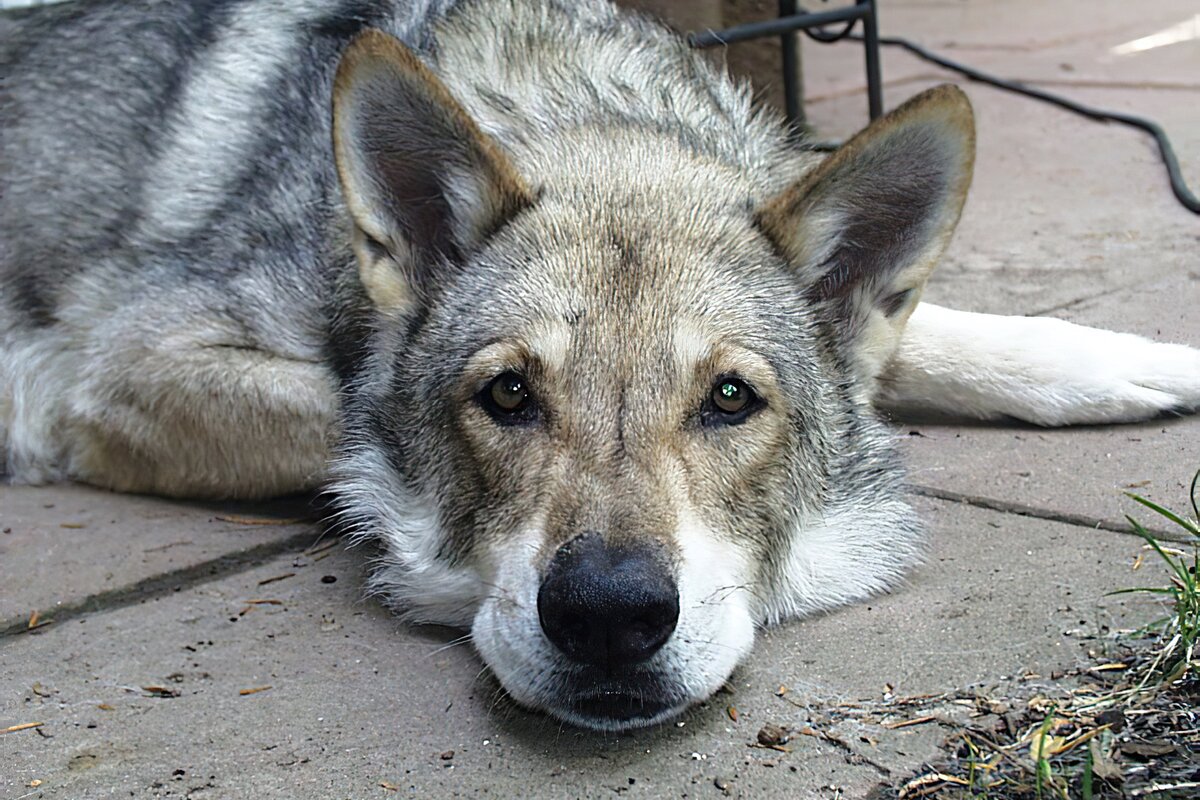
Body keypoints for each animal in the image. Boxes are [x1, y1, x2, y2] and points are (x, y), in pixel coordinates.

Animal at [2, 0, 1200, 734]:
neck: (584, 112)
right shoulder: (108, 371)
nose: (609, 615)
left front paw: (1141, 362)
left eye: (730, 399)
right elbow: (350, 413)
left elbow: (930, 336)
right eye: (508, 395)